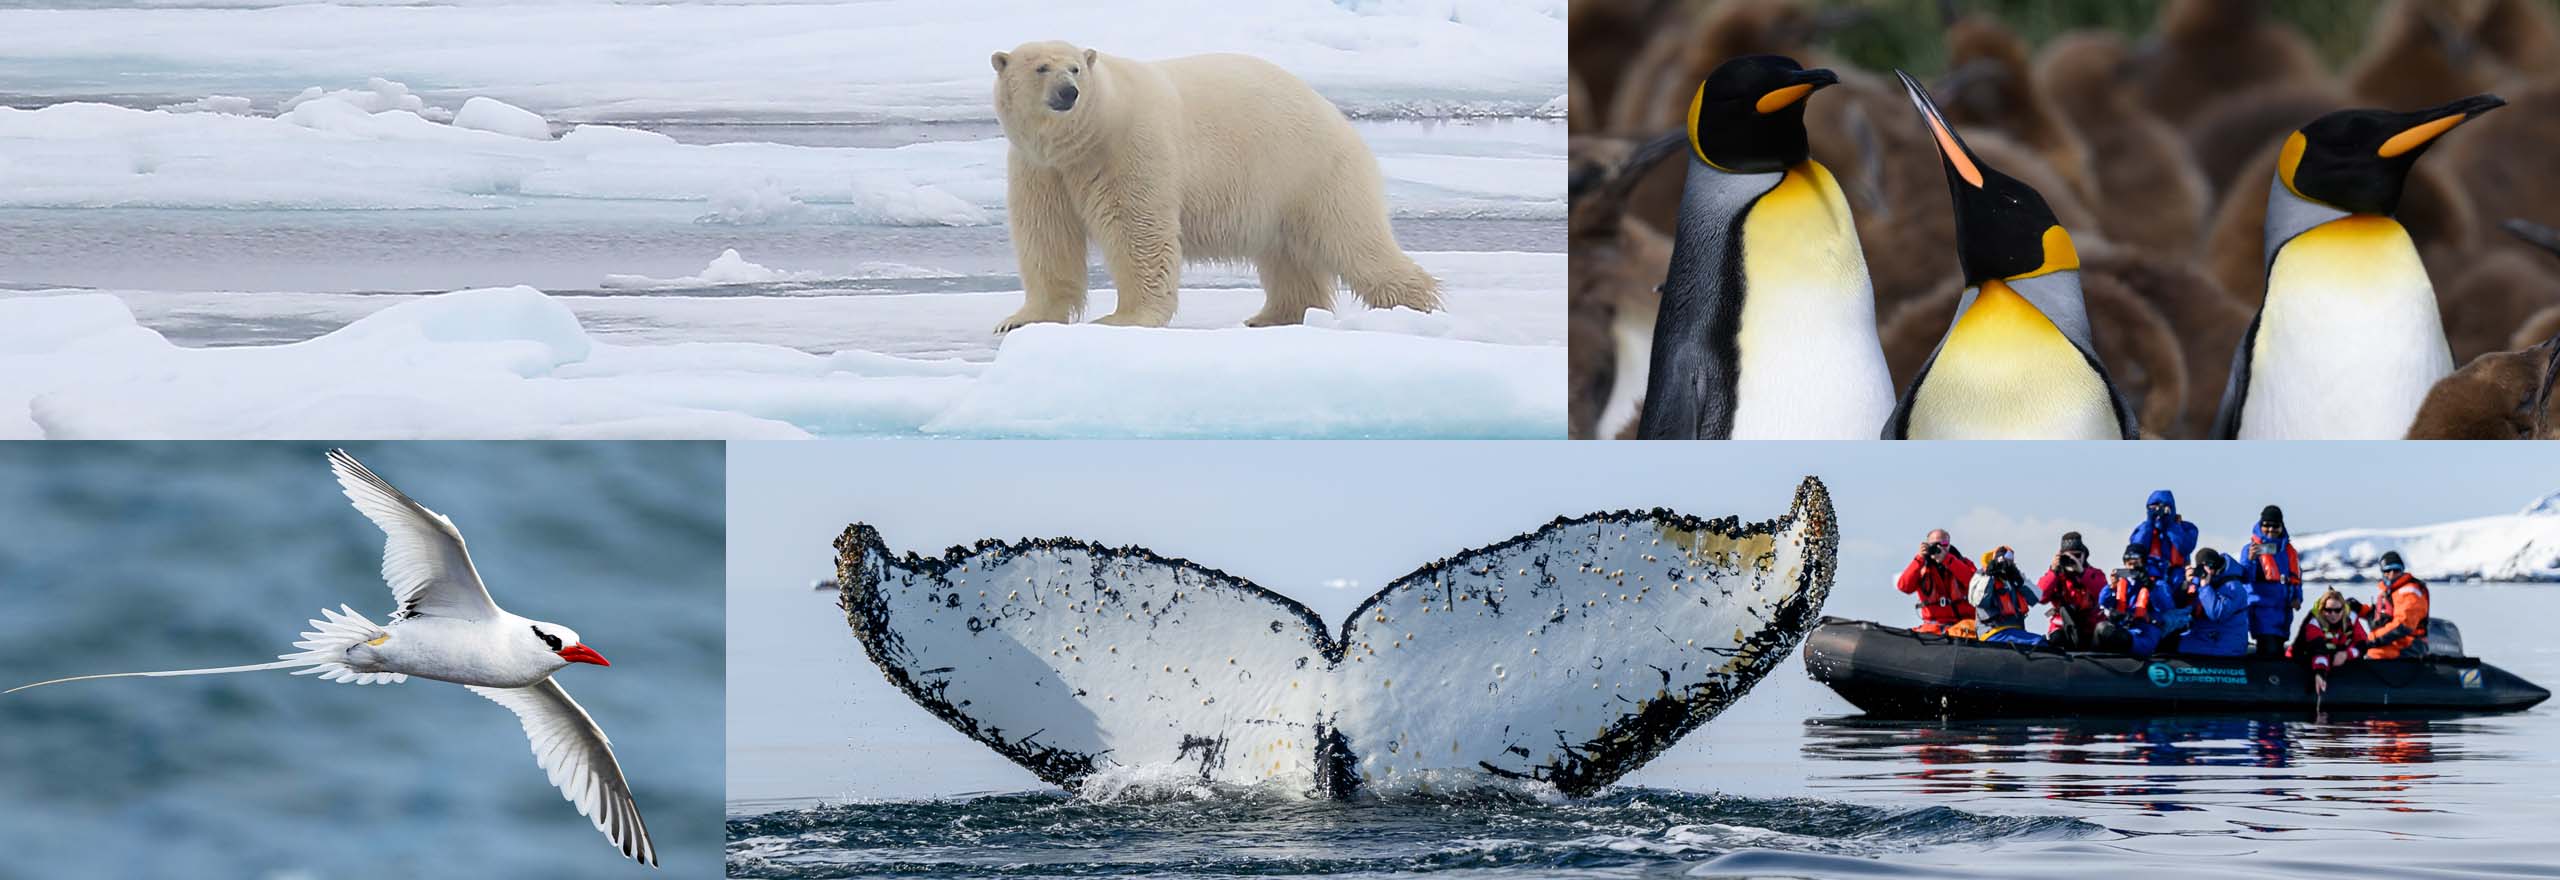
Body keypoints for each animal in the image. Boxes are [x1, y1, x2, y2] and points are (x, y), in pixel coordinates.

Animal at [988, 40, 1442, 331]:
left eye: (1075, 68)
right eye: (1041, 67)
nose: (1069, 93)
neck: (1089, 133)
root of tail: (1337, 116)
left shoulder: (1130, 149)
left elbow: (1137, 231)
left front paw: (1122, 317)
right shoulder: (1040, 168)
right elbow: (1046, 236)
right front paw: (1018, 320)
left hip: (1312, 170)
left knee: (1353, 239)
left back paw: (1417, 304)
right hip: (1282, 190)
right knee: (1288, 257)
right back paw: (1271, 315)